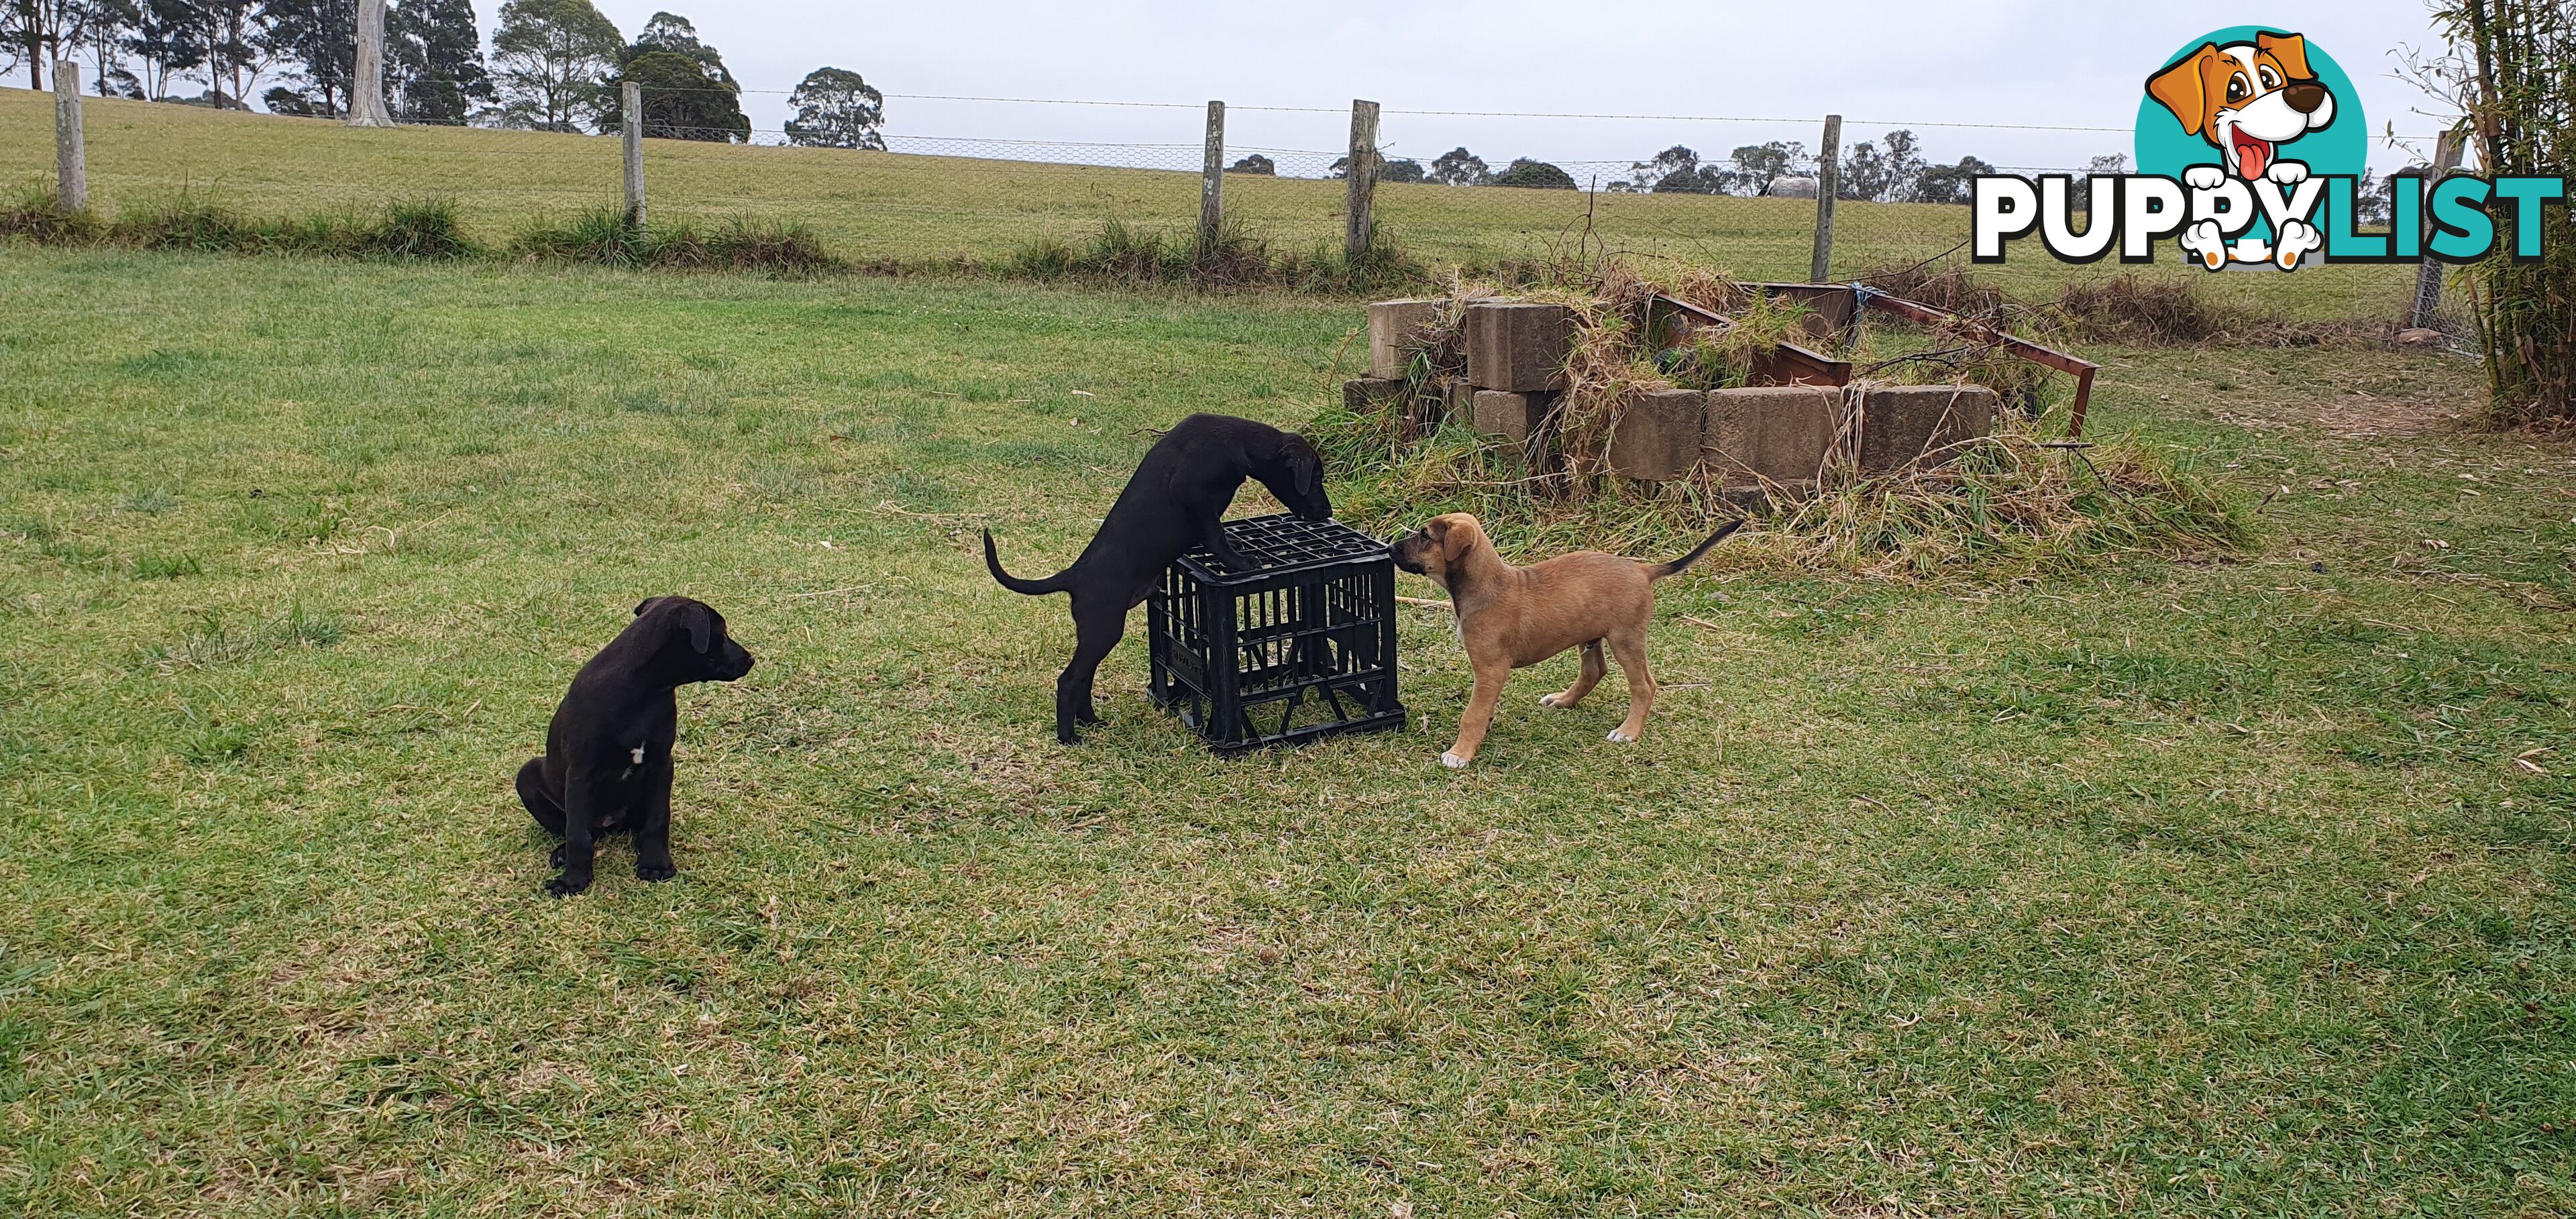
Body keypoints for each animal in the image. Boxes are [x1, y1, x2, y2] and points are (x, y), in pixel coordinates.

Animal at [513, 595, 752, 892]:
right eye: (723, 633)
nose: (751, 659)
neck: (641, 691)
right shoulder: (580, 772)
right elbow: (577, 834)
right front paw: (574, 881)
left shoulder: (661, 764)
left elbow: (658, 820)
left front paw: (655, 864)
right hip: (527, 776)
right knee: (584, 829)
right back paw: (563, 854)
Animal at [979, 412, 1329, 742]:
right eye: (1316, 478)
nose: (1328, 513)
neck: (1237, 442)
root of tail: (1073, 576)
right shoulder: (1194, 495)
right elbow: (1215, 536)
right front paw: (1241, 561)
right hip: (1103, 628)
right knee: (1070, 680)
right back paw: (1069, 738)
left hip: (1096, 634)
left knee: (1084, 678)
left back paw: (1091, 721)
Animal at [1401, 513, 1741, 767]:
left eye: (1424, 536)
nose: (1391, 548)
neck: (1486, 586)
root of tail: (1642, 569)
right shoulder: (1490, 675)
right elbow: (1483, 707)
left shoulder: (1490, 669)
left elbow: (1471, 714)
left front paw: (1460, 753)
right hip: (1590, 637)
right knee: (1594, 672)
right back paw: (1563, 700)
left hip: (1626, 641)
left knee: (1644, 686)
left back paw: (1628, 732)